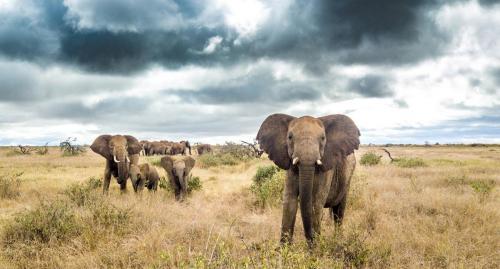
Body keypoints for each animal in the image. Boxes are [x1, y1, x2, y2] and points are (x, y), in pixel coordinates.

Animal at [258, 113, 360, 245]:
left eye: (323, 138)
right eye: (290, 137)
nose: (311, 241)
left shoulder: (326, 168)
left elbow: (315, 203)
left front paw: (315, 249)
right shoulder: (291, 168)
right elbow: (289, 202)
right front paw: (283, 249)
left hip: (348, 179)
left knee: (339, 212)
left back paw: (338, 240)